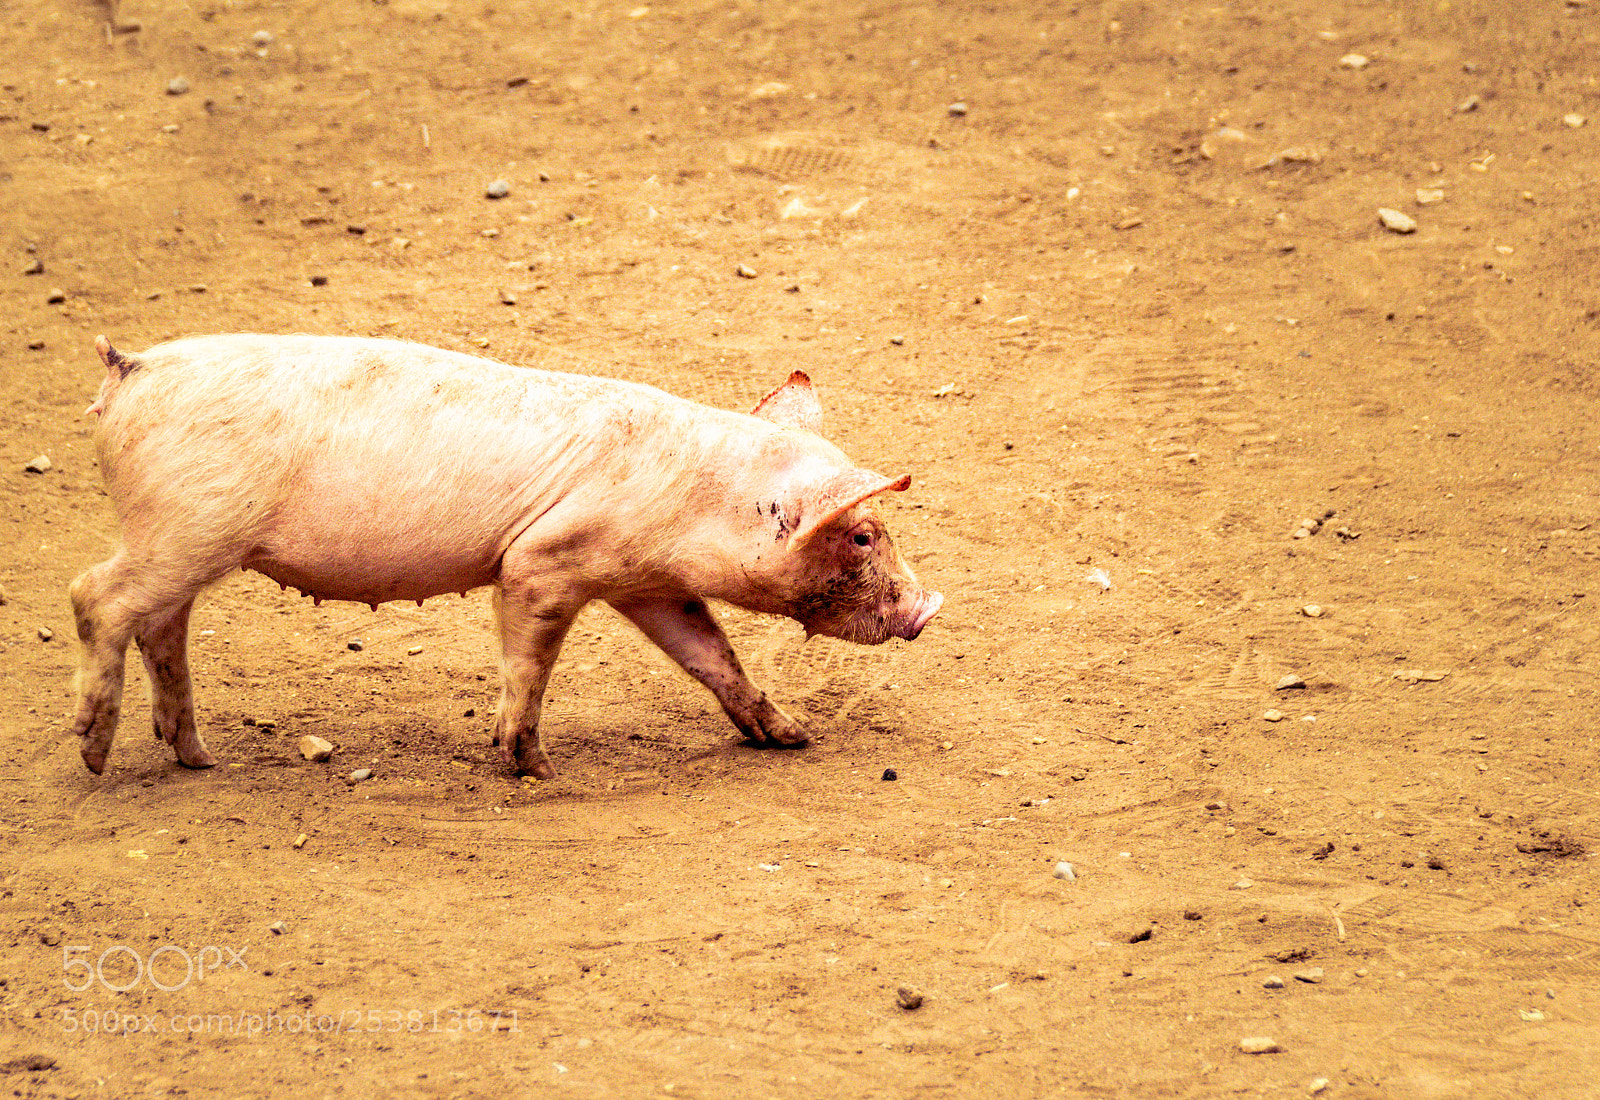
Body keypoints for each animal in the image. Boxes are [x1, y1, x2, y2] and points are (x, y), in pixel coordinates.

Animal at [69, 333, 942, 779]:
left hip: (186, 540)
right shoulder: (542, 562)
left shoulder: (648, 585)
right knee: (94, 596)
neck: (695, 502)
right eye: (862, 534)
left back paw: (197, 758)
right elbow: (531, 662)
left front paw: (791, 737)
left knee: (162, 626)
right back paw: (95, 754)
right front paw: (532, 766)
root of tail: (127, 368)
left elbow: (711, 654)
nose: (931, 606)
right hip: (188, 526)